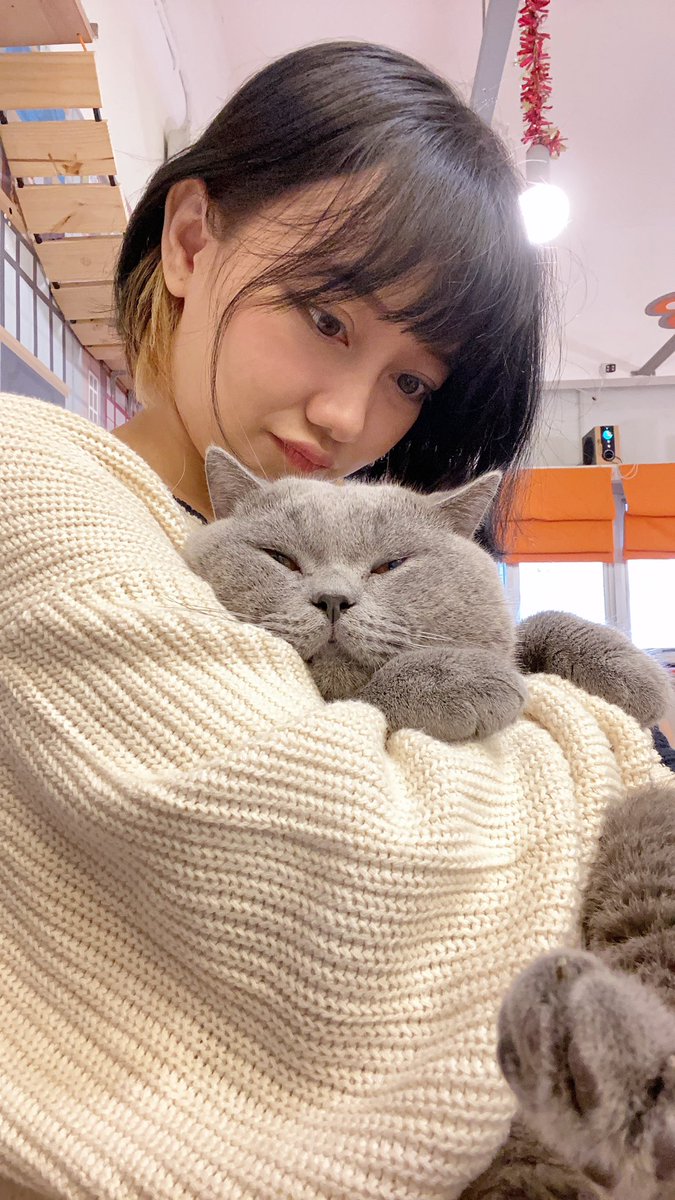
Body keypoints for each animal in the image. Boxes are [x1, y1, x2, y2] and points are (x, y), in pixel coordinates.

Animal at [184, 446, 675, 1200]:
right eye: (280, 558)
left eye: (391, 565)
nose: (332, 599)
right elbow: (383, 695)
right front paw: (464, 679)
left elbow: (529, 626)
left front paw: (631, 671)